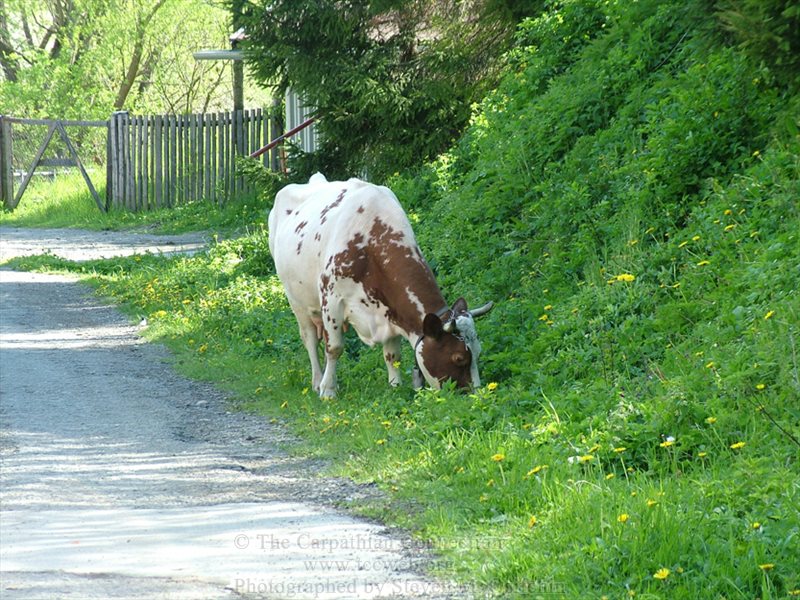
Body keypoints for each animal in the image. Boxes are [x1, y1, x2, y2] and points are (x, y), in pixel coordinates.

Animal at [268, 173, 493, 398]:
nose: (476, 395)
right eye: (458, 358)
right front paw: (328, 391)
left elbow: (393, 355)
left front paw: (395, 387)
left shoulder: (390, 309)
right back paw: (317, 381)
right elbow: (334, 348)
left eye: (479, 351)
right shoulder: (331, 300)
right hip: (296, 300)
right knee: (310, 340)